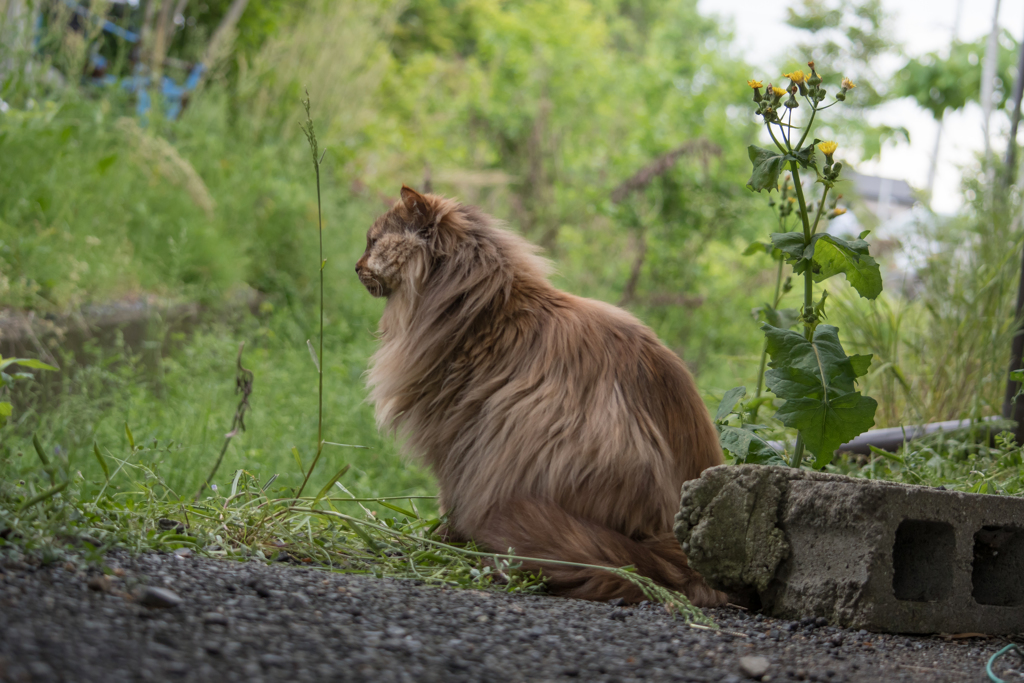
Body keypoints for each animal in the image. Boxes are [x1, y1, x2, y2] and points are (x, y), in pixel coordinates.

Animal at [360, 185, 729, 602]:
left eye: (372, 242)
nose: (356, 266)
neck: (479, 310)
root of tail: (680, 556)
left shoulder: (455, 434)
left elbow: (448, 499)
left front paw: (439, 539)